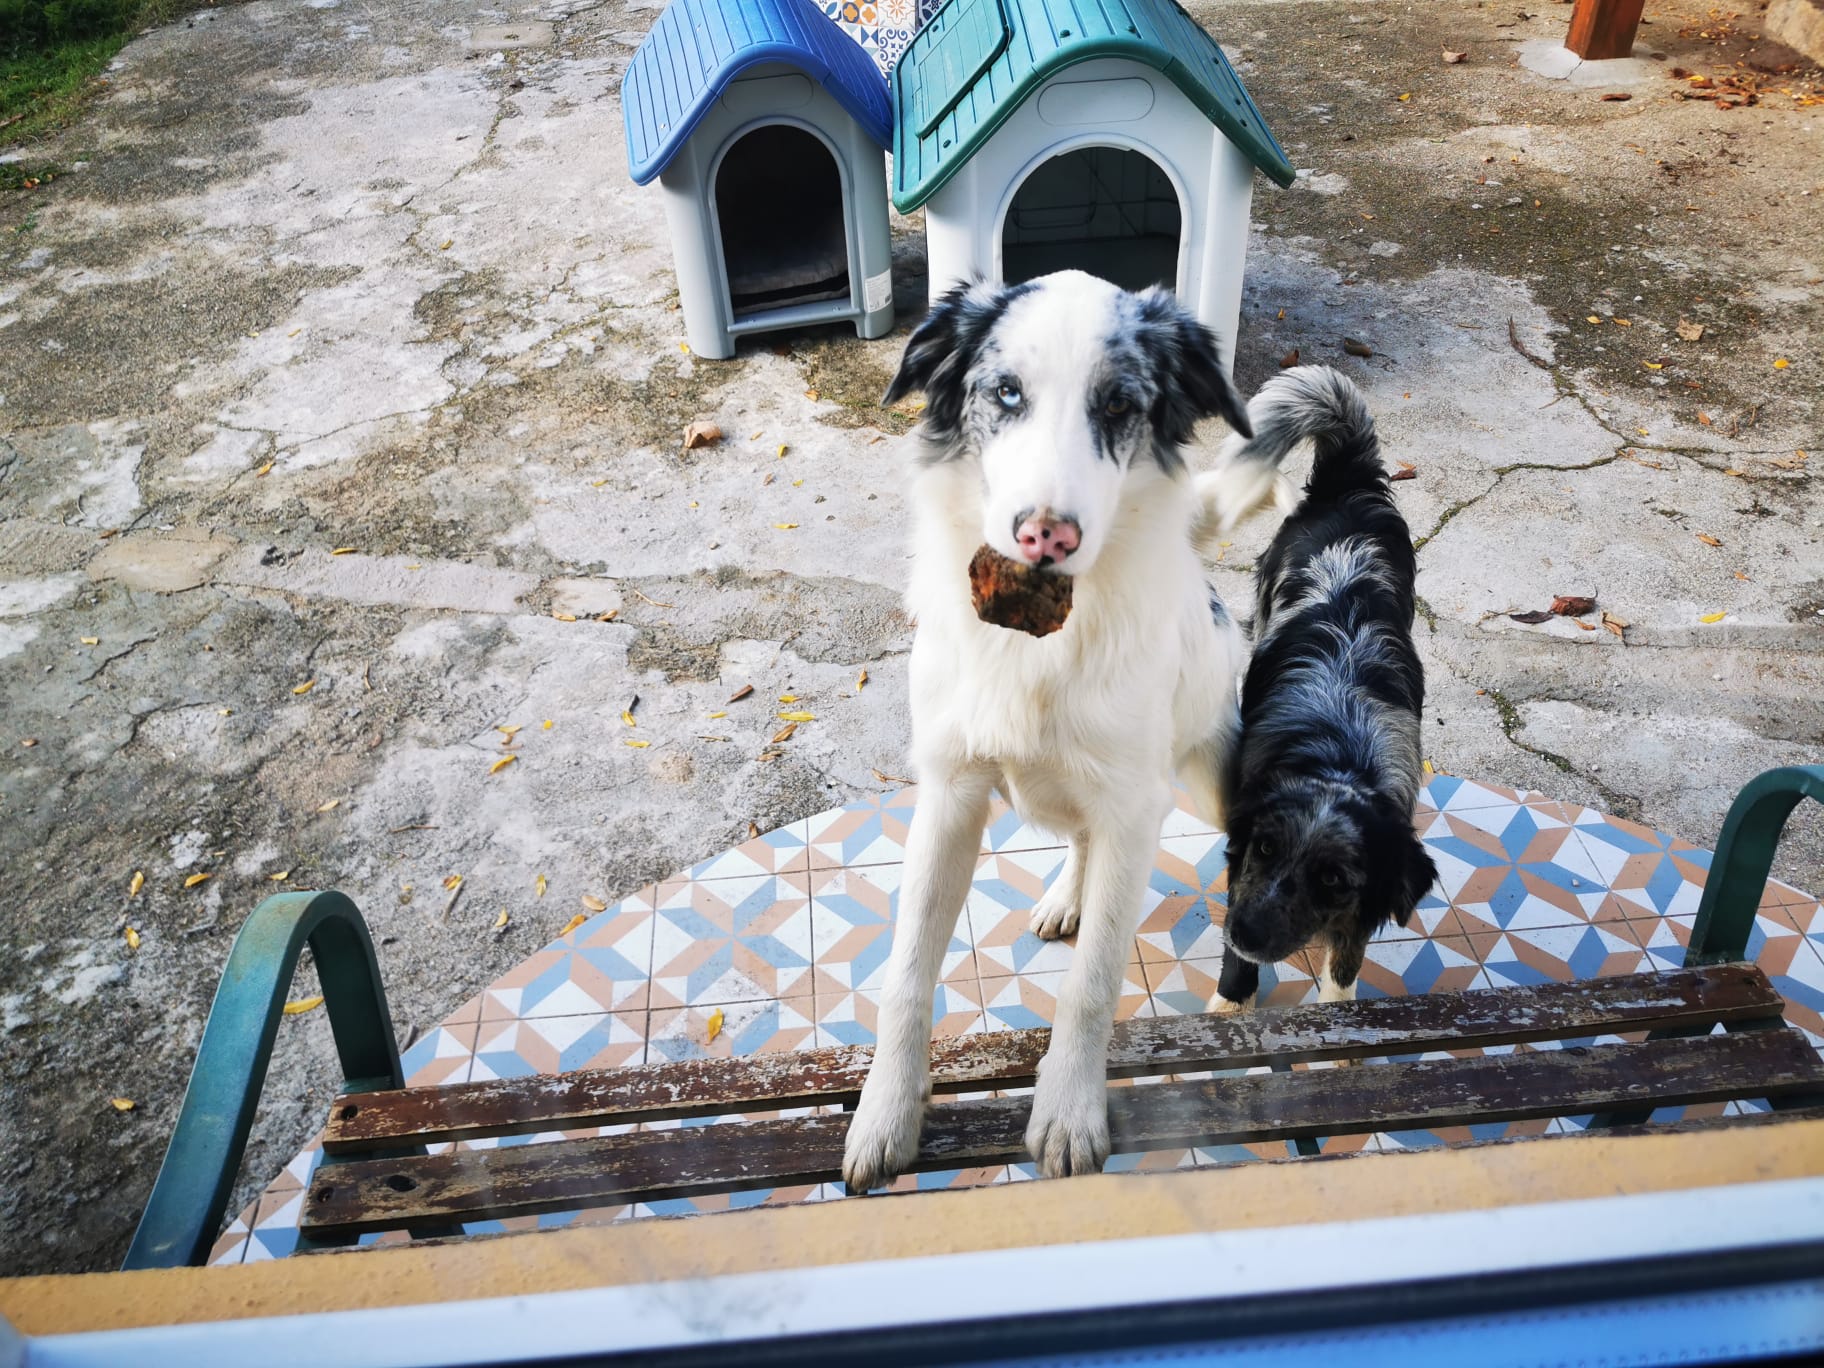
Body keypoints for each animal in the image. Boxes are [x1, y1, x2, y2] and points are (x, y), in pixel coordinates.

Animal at [839, 269, 1254, 1189]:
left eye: (1119, 403)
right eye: (1005, 392)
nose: (1046, 535)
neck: (1038, 635)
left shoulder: (1133, 804)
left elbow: (1093, 983)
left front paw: (1068, 1109)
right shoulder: (949, 794)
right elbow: (906, 975)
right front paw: (885, 1112)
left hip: (1213, 780)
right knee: (1081, 843)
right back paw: (1069, 894)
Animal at [1196, 370, 1437, 1014]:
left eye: (1332, 879)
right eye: (1265, 849)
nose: (1243, 932)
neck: (1338, 756)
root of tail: (1347, 486)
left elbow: (1346, 959)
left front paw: (1337, 1013)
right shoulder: (1242, 868)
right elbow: (1237, 967)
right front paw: (1231, 1004)